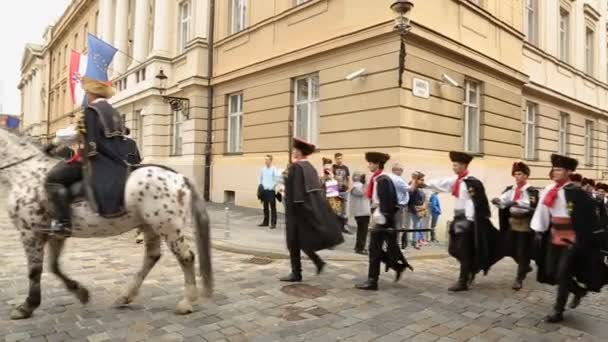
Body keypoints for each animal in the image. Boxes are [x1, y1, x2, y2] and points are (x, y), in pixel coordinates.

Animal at [0, 127, 214, 320]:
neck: (26, 174)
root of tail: (179, 177)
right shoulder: (55, 233)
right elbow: (54, 266)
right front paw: (80, 291)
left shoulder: (30, 232)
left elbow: (35, 271)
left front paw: (27, 306)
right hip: (150, 225)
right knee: (152, 256)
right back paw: (125, 296)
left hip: (167, 226)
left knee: (186, 257)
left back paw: (187, 302)